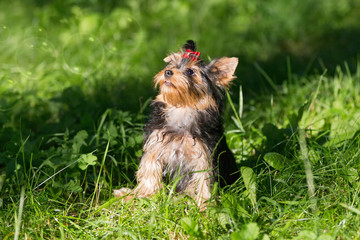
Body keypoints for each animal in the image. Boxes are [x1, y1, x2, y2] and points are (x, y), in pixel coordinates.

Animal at [114, 39, 239, 206]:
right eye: (171, 65)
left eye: (190, 72)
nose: (168, 72)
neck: (182, 108)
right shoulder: (155, 146)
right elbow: (149, 170)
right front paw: (140, 195)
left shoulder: (204, 155)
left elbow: (204, 180)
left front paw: (204, 205)